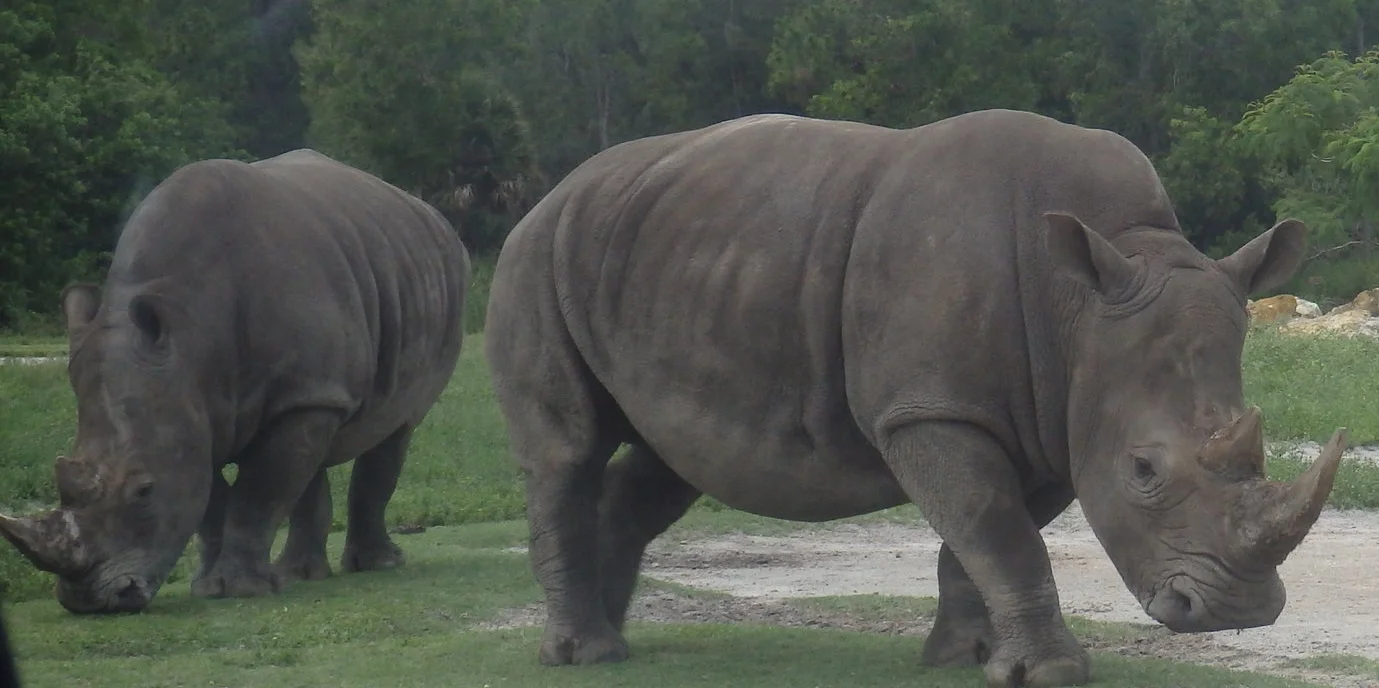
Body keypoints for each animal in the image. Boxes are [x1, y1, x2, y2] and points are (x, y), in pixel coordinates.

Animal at [0, 149, 470, 614]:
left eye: (144, 491)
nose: (88, 602)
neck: (191, 338)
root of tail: (435, 218)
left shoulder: (261, 397)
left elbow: (258, 495)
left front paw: (243, 589)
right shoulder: (189, 410)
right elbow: (211, 497)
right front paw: (209, 587)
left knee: (397, 427)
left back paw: (377, 565)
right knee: (312, 451)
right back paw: (298, 575)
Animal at [483, 109, 1348, 687]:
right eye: (1142, 470)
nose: (1236, 611)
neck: (1080, 306)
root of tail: (552, 192)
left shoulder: (1049, 419)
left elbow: (988, 533)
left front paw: (968, 658)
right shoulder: (931, 408)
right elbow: (996, 528)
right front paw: (1047, 671)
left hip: (663, 261)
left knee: (671, 458)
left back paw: (616, 641)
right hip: (535, 256)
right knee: (566, 450)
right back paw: (585, 653)